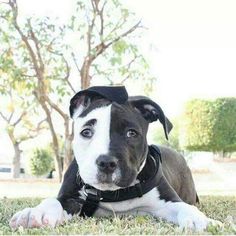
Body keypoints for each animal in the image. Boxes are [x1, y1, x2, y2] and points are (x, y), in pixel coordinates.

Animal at [9, 86, 219, 230]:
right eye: (86, 132)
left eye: (131, 133)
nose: (106, 163)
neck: (115, 194)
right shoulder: (70, 198)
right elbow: (54, 201)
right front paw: (36, 212)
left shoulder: (168, 202)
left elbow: (185, 208)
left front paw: (201, 220)